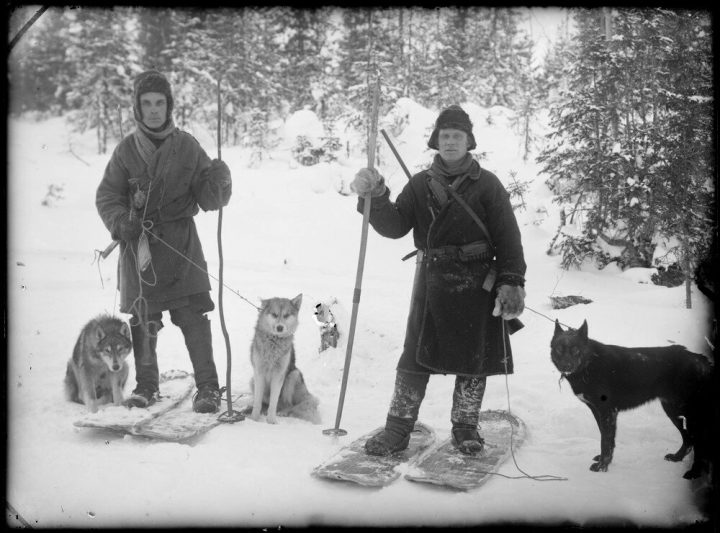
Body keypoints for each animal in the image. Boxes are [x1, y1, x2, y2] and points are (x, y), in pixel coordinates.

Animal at [552, 320, 708, 478]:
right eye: (559, 349)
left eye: (575, 350)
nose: (566, 365)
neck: (589, 363)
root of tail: (698, 358)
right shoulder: (598, 411)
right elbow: (606, 437)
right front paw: (604, 461)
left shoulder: (607, 412)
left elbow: (605, 441)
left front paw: (602, 467)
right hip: (673, 411)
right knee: (688, 440)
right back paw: (677, 457)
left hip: (684, 411)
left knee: (696, 440)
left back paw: (693, 472)